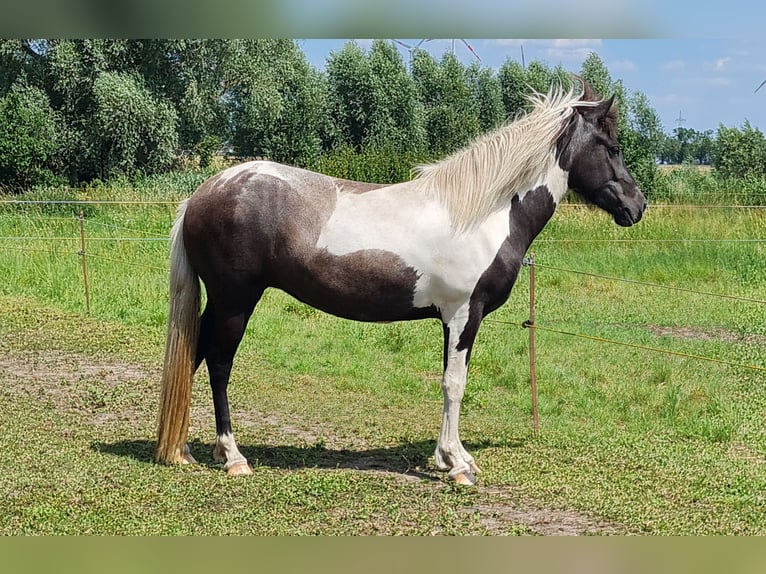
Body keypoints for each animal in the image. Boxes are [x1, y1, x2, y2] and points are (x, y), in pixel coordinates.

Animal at [154, 80, 648, 486]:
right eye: (613, 146)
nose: (637, 206)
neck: (483, 213)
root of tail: (205, 191)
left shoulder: (449, 319)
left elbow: (450, 380)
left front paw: (447, 457)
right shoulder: (465, 314)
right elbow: (455, 383)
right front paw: (459, 465)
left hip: (222, 302)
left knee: (195, 353)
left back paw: (184, 450)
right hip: (236, 300)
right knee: (219, 362)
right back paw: (233, 456)